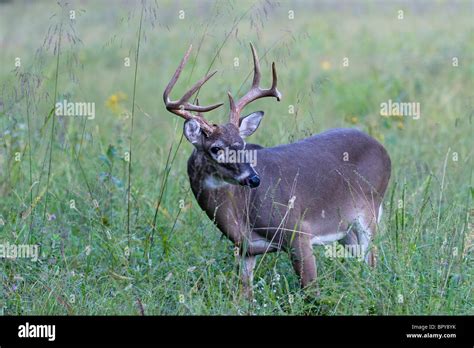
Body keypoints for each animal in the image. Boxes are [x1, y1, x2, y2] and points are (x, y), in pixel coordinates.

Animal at [164, 43, 392, 298]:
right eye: (216, 148)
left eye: (242, 144)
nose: (254, 179)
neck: (241, 214)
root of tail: (382, 148)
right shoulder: (246, 250)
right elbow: (245, 295)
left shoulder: (297, 231)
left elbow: (312, 293)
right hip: (346, 230)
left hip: (369, 212)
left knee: (372, 261)